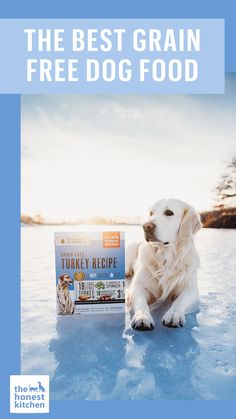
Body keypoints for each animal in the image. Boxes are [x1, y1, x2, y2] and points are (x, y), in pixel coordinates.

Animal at [126, 199, 202, 334]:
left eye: (169, 212)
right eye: (151, 213)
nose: (146, 226)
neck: (166, 258)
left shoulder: (190, 288)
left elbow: (181, 300)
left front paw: (174, 314)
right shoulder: (138, 286)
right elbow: (141, 301)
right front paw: (142, 317)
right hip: (131, 247)